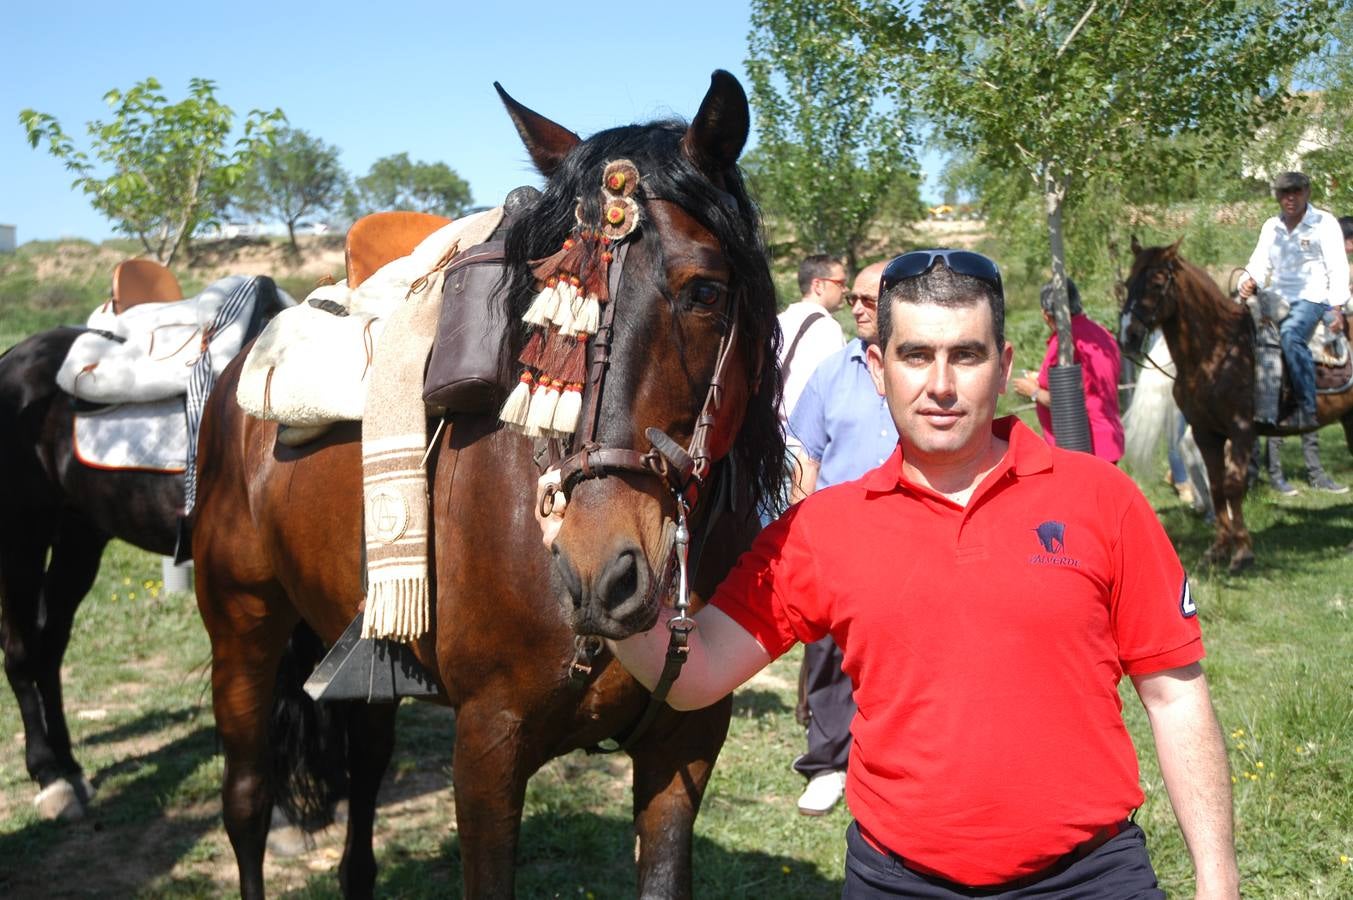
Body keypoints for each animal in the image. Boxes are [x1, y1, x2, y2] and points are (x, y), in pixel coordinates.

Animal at [0, 277, 285, 817]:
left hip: (80, 536)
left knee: (50, 646)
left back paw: (70, 767)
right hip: (21, 538)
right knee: (22, 650)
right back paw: (51, 776)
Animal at [190, 70, 784, 898]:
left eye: (704, 291)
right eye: (550, 297)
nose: (600, 570)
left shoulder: (684, 746)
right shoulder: (486, 750)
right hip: (241, 631)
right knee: (246, 802)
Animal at [1125, 235, 1353, 565]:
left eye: (1156, 283)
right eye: (1128, 283)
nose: (1128, 335)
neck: (1218, 352)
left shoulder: (1241, 429)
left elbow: (1233, 486)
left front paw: (1243, 551)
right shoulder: (1206, 432)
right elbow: (1218, 484)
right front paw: (1218, 548)